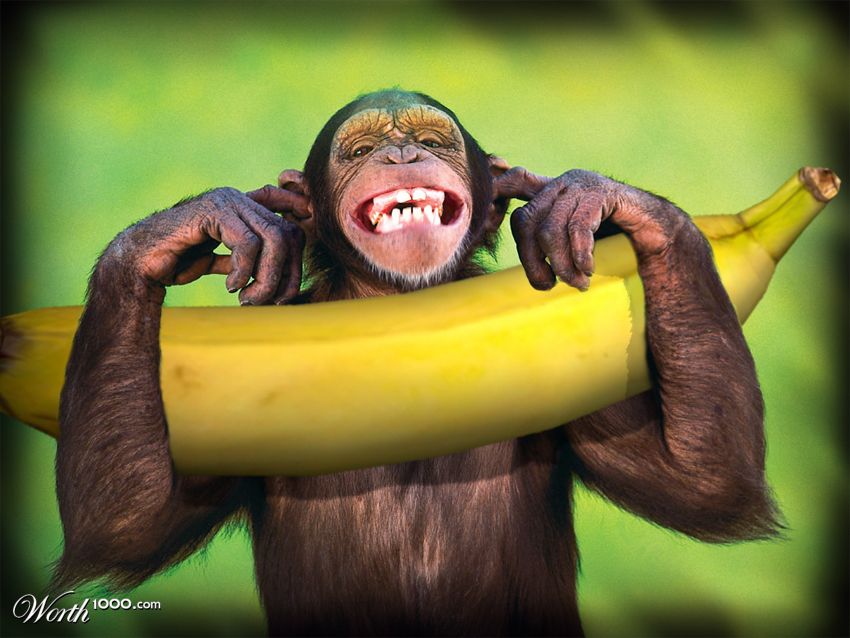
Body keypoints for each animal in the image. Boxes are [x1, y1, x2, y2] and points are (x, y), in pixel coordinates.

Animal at [53, 89, 781, 636]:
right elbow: (129, 522)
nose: (402, 152)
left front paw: (587, 197)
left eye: (433, 141)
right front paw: (199, 223)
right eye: (360, 150)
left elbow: (699, 483)